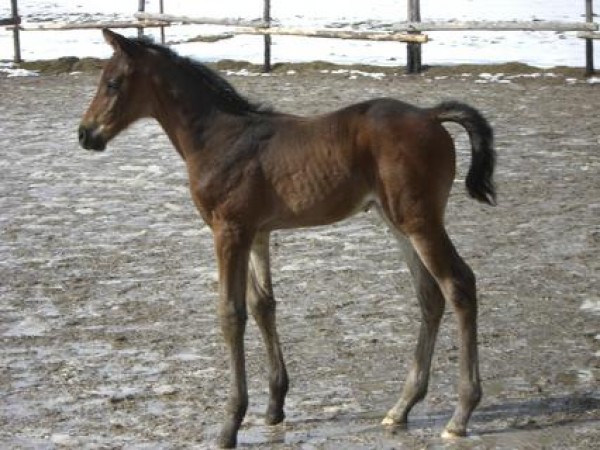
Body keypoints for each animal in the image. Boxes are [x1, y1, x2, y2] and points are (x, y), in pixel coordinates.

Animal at [79, 29, 496, 448]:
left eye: (113, 83)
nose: (85, 134)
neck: (219, 138)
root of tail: (429, 114)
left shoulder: (228, 230)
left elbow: (231, 313)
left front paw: (230, 423)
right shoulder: (257, 231)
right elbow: (263, 304)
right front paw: (274, 405)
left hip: (419, 221)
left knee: (458, 285)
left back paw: (460, 414)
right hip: (396, 221)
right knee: (429, 294)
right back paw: (401, 407)